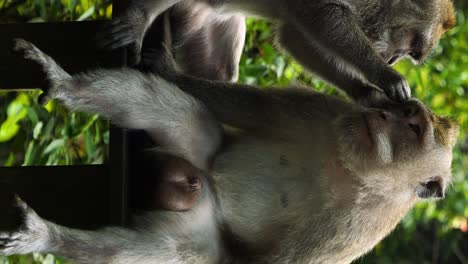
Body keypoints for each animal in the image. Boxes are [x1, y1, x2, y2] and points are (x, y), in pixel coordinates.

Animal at [0, 39, 460, 264]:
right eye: (400, 110)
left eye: (413, 127)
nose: (381, 117)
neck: (355, 170)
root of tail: (195, 185)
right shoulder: (325, 110)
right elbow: (241, 105)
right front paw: (167, 68)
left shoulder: (353, 230)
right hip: (199, 158)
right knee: (174, 110)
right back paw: (65, 87)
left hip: (201, 224)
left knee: (166, 251)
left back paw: (48, 236)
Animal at [100, 0, 456, 102]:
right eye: (411, 48)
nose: (393, 59)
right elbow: (322, 16)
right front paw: (385, 77)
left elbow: (296, 37)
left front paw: (363, 92)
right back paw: (139, 17)